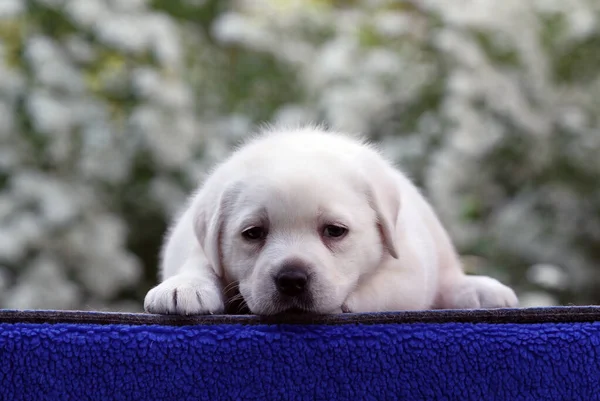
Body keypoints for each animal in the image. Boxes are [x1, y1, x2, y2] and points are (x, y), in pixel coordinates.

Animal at [143, 126, 516, 314]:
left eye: (335, 231)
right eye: (253, 233)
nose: (292, 279)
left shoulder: (410, 268)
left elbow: (380, 289)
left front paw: (347, 302)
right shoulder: (195, 242)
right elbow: (199, 261)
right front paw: (185, 286)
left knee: (450, 277)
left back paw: (481, 290)